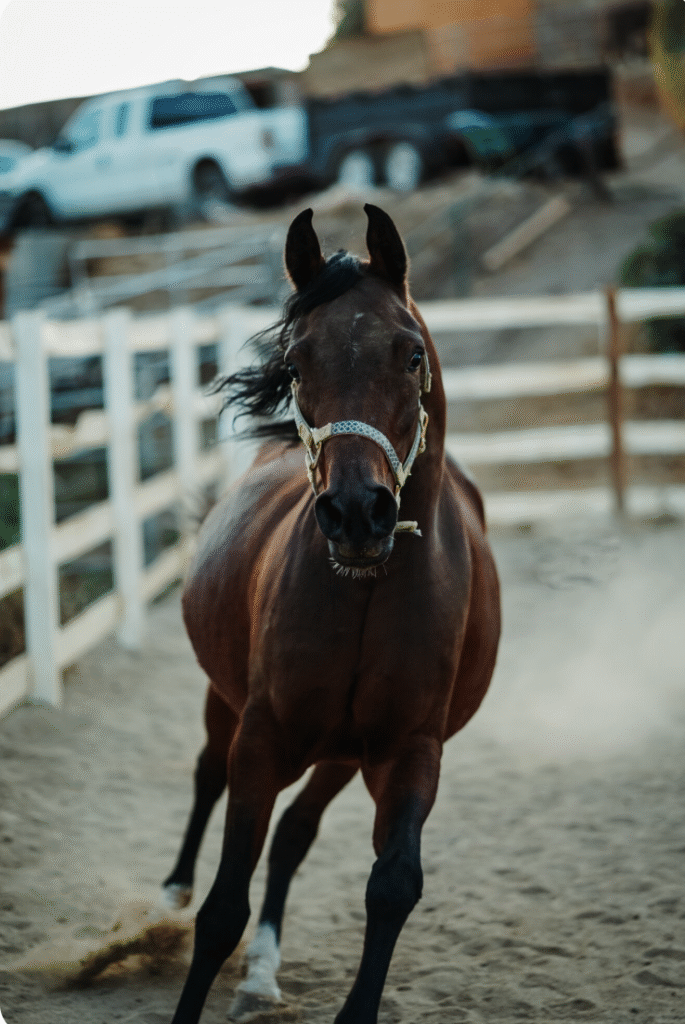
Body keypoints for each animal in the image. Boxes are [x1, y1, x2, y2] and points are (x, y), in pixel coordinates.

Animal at [163, 204, 501, 1024]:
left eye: (410, 355)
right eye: (295, 365)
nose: (356, 512)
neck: (366, 594)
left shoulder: (409, 751)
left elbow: (393, 886)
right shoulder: (260, 736)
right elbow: (221, 907)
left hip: (343, 756)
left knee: (295, 832)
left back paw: (262, 973)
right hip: (226, 702)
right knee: (206, 776)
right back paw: (170, 893)